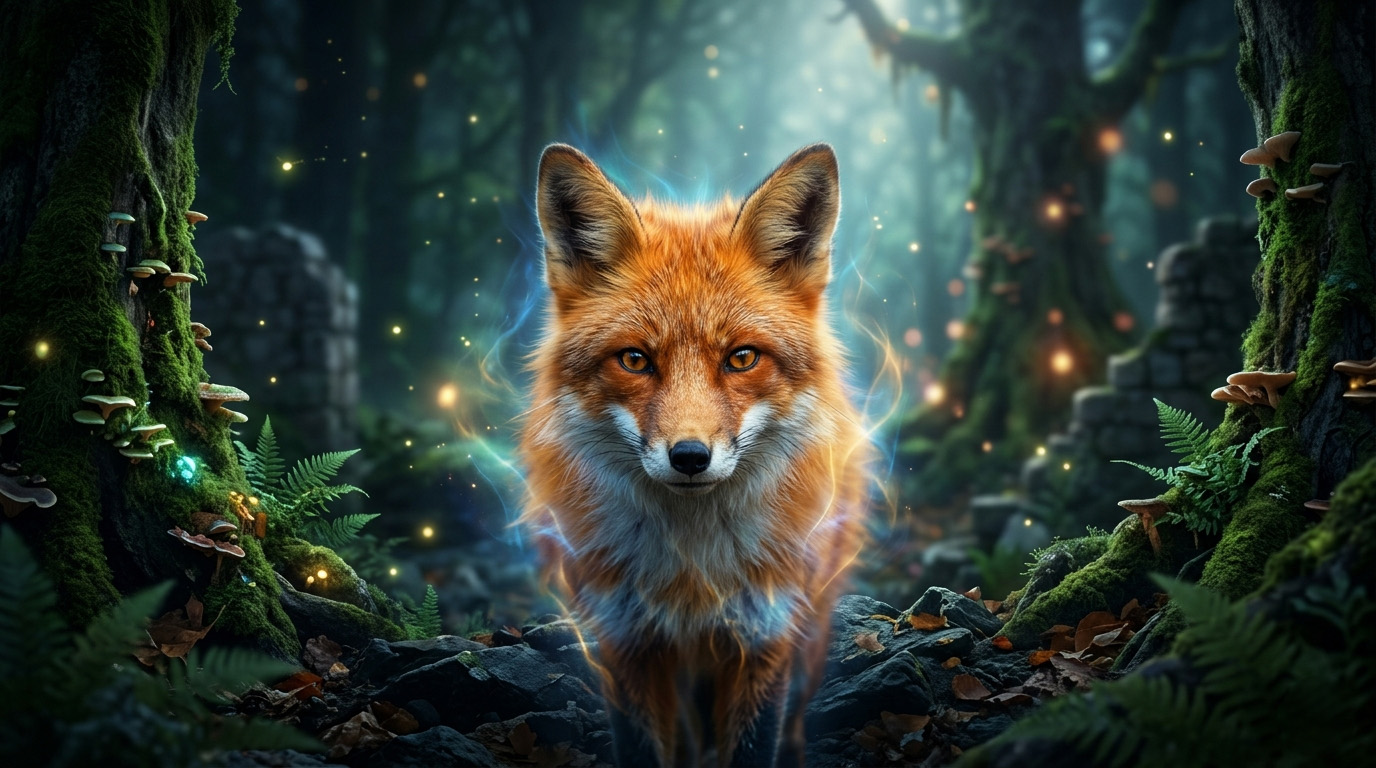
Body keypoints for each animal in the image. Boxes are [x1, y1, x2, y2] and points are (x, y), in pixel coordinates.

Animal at [518, 142, 872, 768]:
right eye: (635, 360)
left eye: (742, 358)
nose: (689, 456)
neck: (691, 571)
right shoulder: (624, 638)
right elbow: (642, 747)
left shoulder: (765, 635)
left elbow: (754, 746)